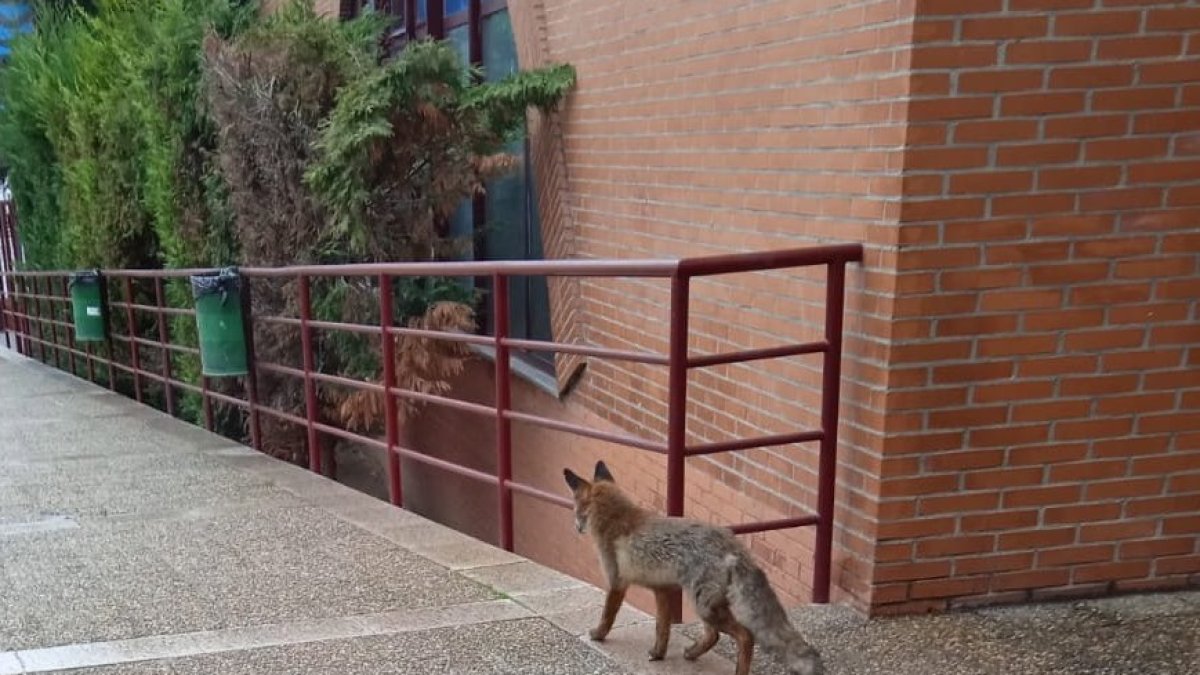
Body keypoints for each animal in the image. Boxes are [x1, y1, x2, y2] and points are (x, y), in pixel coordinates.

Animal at [564, 461, 824, 675]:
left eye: (576, 509)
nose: (576, 527)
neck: (617, 519)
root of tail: (732, 544)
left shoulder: (617, 582)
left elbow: (608, 615)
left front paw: (598, 635)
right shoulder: (662, 590)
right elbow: (662, 629)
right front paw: (658, 654)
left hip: (703, 605)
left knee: (745, 636)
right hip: (707, 605)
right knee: (713, 635)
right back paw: (691, 653)